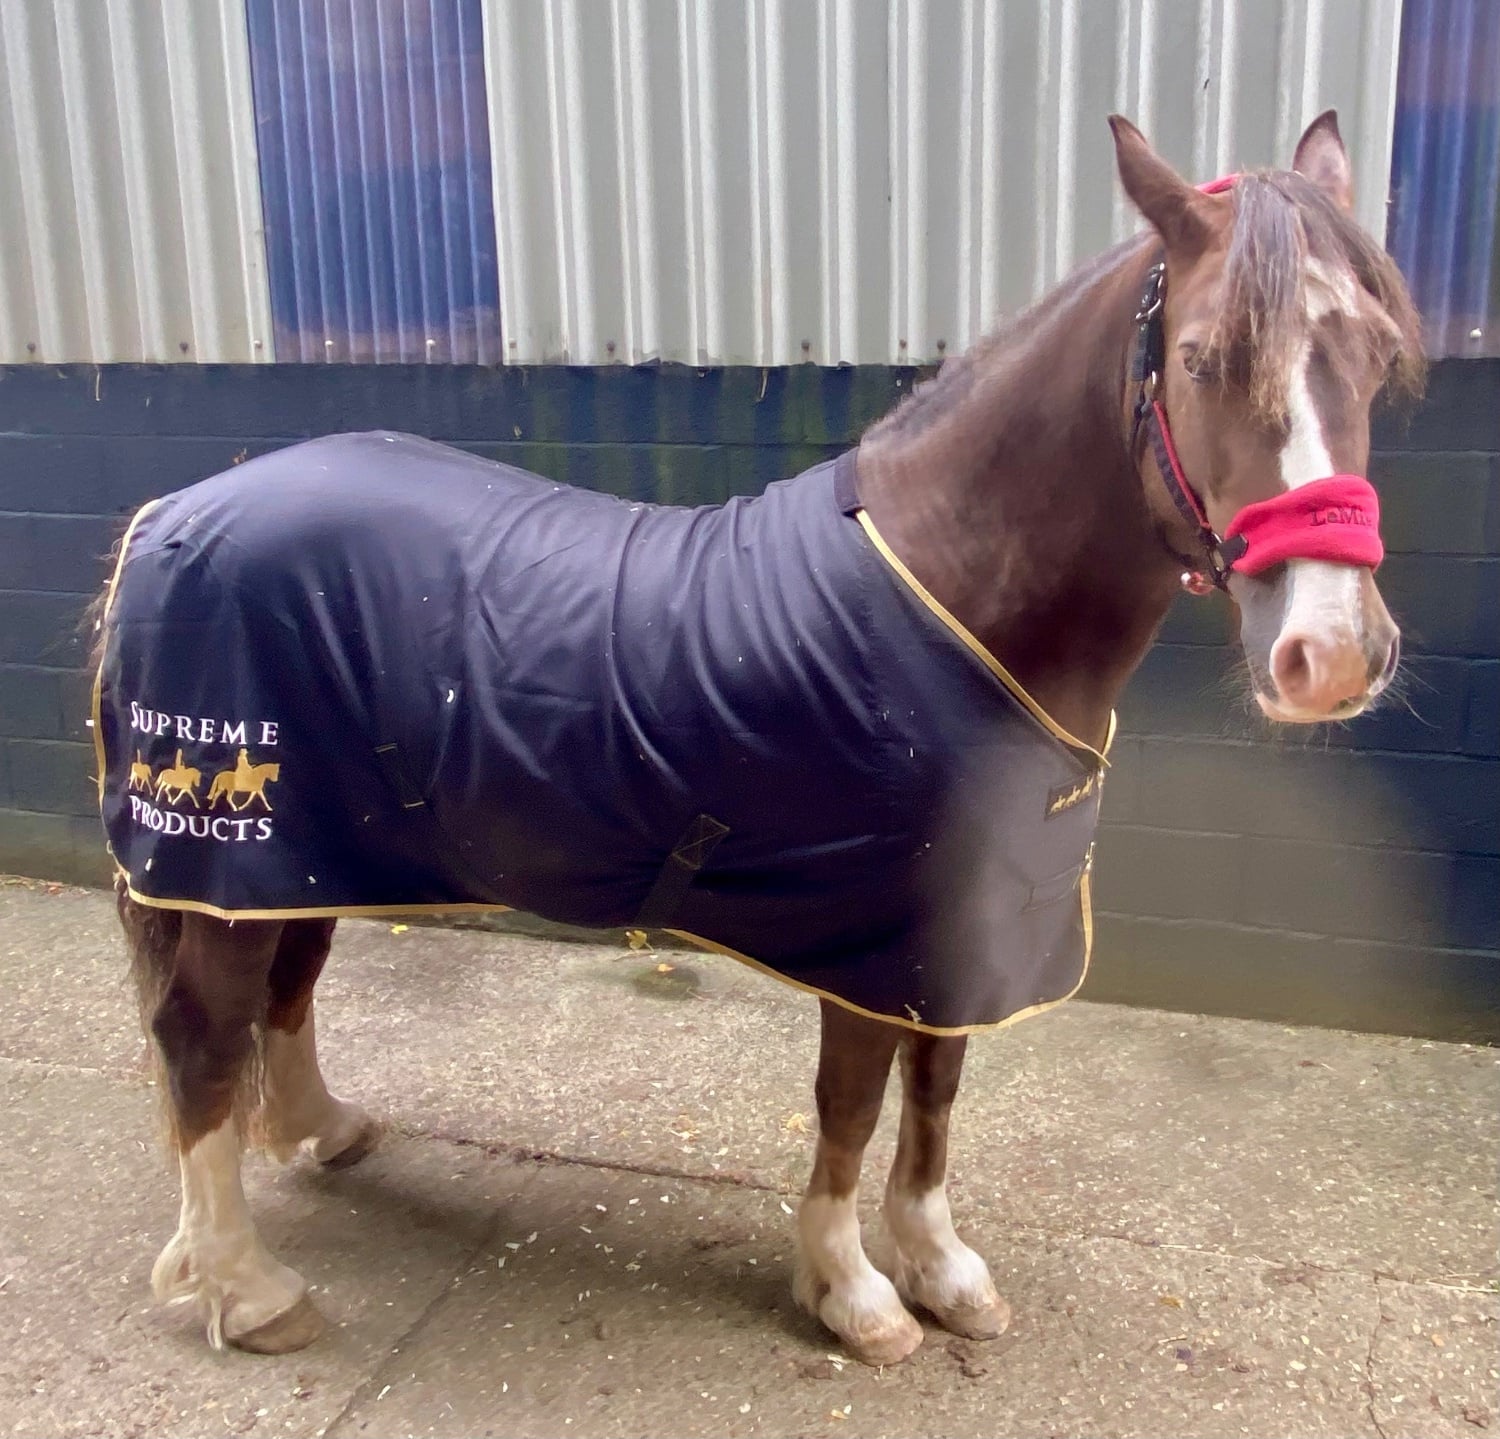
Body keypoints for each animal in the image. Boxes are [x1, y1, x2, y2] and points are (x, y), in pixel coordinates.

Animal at [90, 113, 1422, 1362]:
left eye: (1378, 358)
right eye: (1203, 359)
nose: (1333, 654)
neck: (950, 596)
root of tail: (173, 511)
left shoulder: (960, 935)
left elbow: (937, 1100)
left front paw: (942, 1270)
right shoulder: (872, 937)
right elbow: (853, 1106)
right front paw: (853, 1294)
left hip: (299, 854)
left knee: (287, 984)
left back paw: (325, 1131)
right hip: (226, 858)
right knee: (200, 1039)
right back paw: (249, 1288)